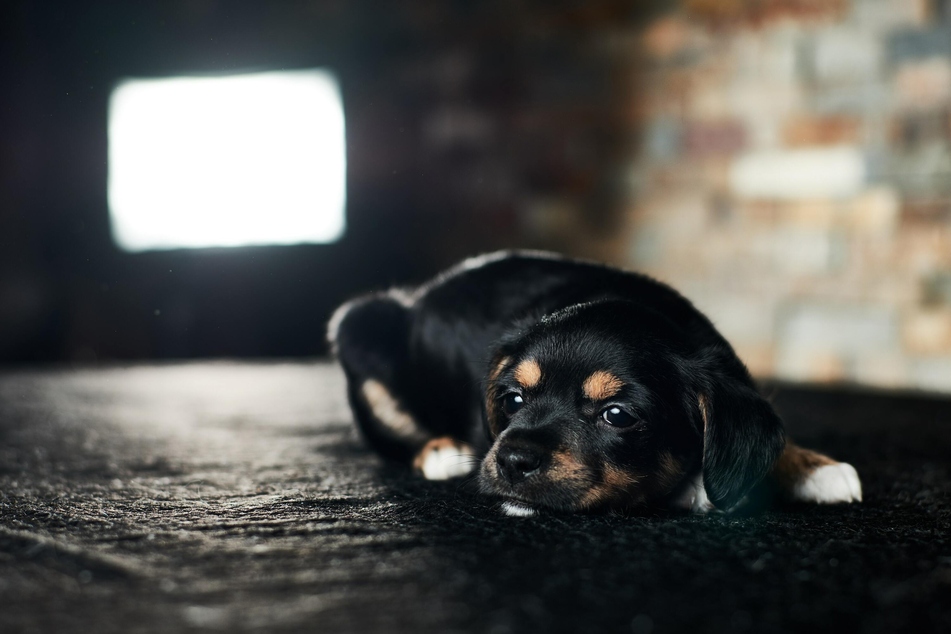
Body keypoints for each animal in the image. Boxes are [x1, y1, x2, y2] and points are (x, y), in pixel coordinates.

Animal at [330, 251, 868, 512]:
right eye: (512, 399)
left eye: (617, 416)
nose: (511, 459)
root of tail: (421, 295)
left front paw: (813, 466)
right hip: (358, 324)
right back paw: (440, 450)